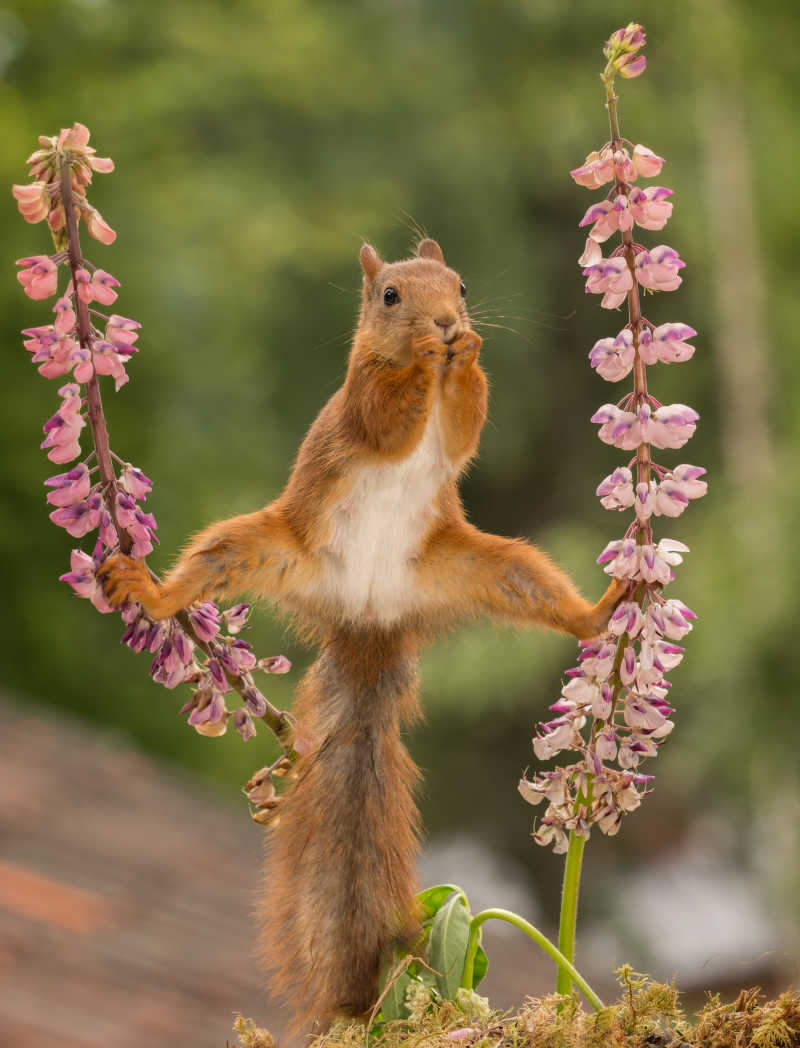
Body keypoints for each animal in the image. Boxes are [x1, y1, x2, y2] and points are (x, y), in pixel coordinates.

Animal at [101, 235, 624, 1022]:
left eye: (461, 285)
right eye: (390, 297)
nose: (447, 324)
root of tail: (369, 615)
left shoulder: (455, 431)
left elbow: (464, 430)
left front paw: (466, 356)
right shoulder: (362, 397)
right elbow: (387, 418)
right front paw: (425, 363)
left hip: (486, 566)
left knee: (549, 597)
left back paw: (608, 603)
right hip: (261, 547)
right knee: (201, 573)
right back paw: (152, 593)